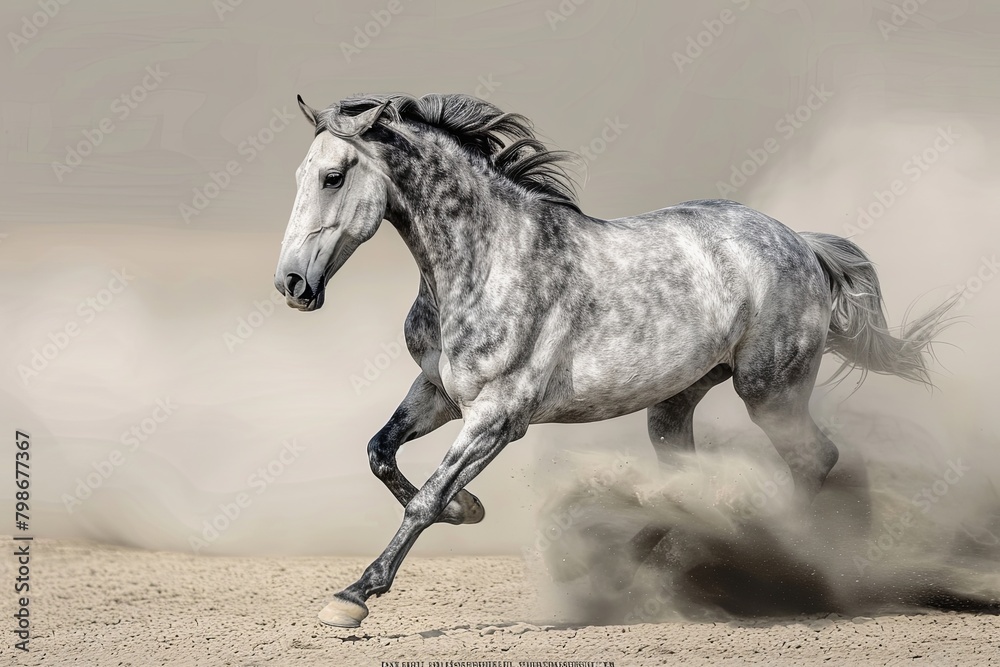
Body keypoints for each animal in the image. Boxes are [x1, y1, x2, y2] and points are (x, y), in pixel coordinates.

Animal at [273, 92, 953, 628]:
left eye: (332, 176)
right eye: (301, 174)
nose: (292, 284)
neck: (488, 260)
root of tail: (802, 243)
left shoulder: (498, 416)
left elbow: (426, 498)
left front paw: (353, 597)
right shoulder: (439, 392)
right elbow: (381, 453)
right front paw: (470, 509)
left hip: (771, 392)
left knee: (815, 459)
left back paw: (809, 572)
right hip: (676, 401)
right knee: (686, 482)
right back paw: (640, 558)